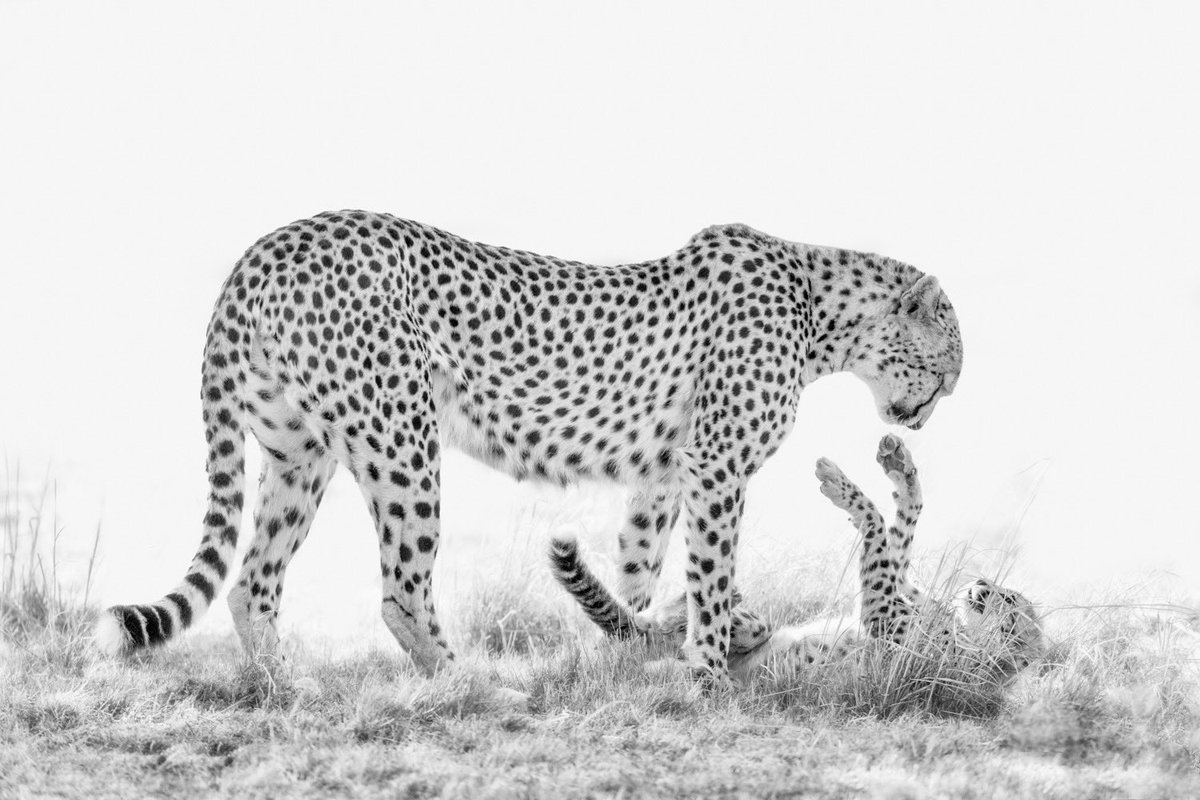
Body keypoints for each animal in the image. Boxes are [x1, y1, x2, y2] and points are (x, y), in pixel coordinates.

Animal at [94, 210, 962, 684]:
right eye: (948, 360)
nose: (932, 409)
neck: (821, 306)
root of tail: (272, 241)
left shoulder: (663, 472)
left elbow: (638, 572)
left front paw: (625, 655)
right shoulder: (716, 468)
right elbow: (712, 578)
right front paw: (709, 674)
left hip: (300, 453)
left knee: (252, 582)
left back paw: (288, 688)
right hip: (402, 440)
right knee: (400, 591)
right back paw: (468, 685)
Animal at [550, 434, 1043, 685]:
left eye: (1009, 605)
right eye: (1005, 593)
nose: (979, 585)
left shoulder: (884, 620)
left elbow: (877, 527)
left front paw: (843, 487)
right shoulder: (903, 596)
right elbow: (899, 538)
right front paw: (899, 469)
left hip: (711, 662)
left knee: (678, 645)